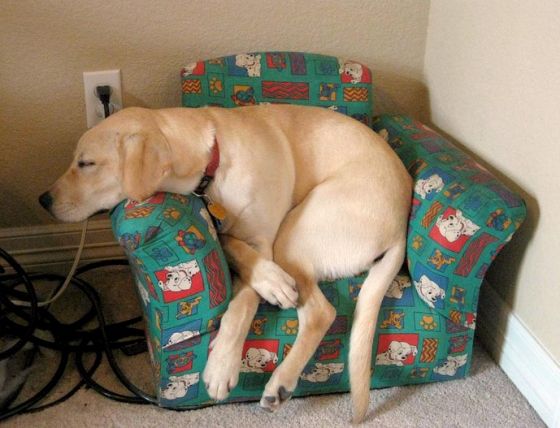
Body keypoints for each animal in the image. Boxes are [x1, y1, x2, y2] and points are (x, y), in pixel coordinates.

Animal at [38, 104, 406, 422]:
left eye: (86, 163)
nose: (43, 200)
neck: (210, 166)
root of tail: (401, 225)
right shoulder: (232, 234)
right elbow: (235, 250)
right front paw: (268, 282)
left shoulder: (265, 242)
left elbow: (243, 304)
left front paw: (220, 366)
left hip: (294, 233)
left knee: (322, 312)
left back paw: (280, 381)